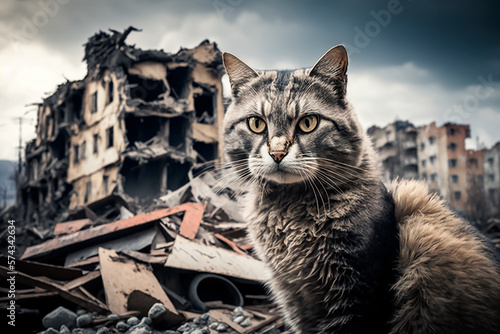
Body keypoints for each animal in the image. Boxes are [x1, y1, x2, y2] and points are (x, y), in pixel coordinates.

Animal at [223, 45, 500, 332]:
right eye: (256, 124)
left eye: (308, 122)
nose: (277, 154)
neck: (289, 212)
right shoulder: (293, 296)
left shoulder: (358, 290)